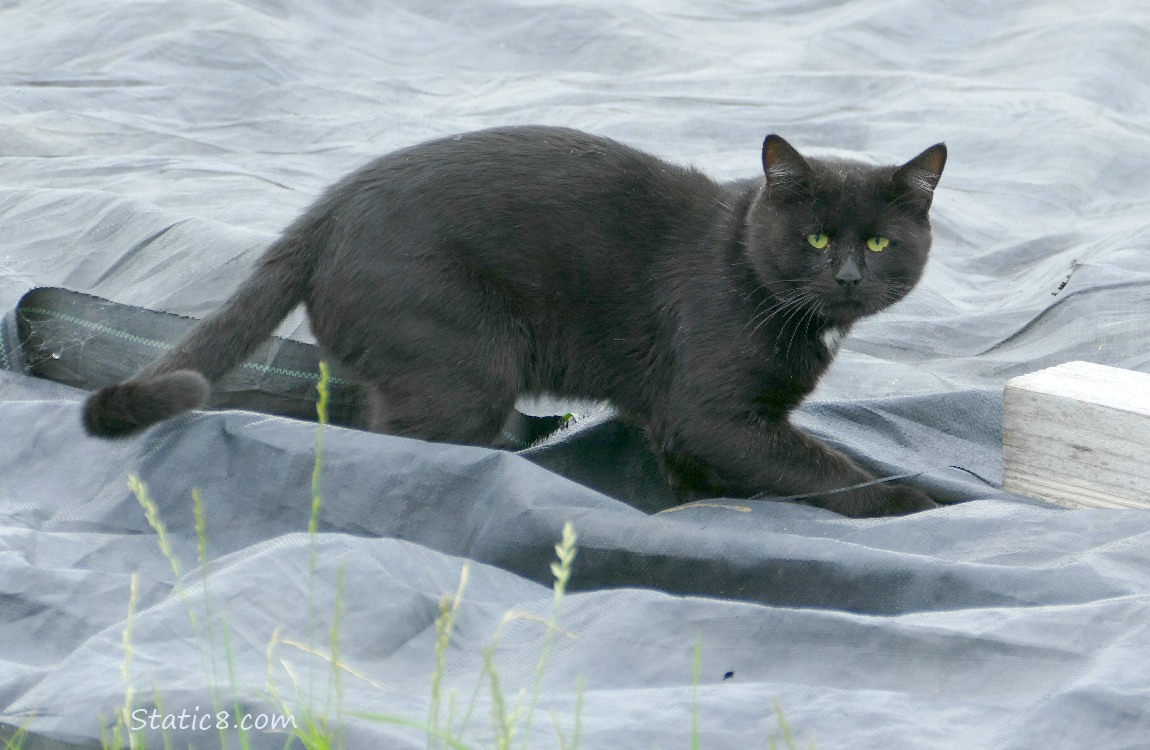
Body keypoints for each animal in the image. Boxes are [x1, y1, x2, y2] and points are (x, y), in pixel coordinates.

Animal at [78, 125, 943, 517]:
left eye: (878, 241)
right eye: (817, 239)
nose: (848, 275)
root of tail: (330, 208)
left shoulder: (681, 421)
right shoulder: (714, 413)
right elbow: (829, 470)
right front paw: (918, 508)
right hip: (465, 365)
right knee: (392, 446)